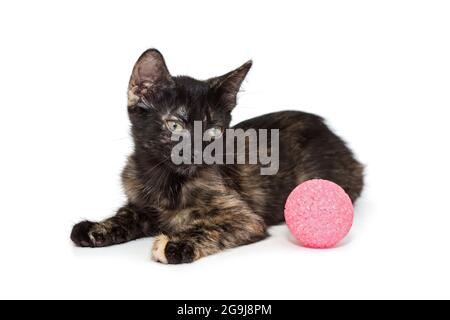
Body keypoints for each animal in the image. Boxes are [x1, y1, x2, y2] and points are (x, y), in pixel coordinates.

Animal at [71, 48, 366, 264]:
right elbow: (126, 215)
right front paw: (97, 228)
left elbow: (208, 226)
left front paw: (175, 242)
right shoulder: (141, 203)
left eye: (213, 131)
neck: (166, 182)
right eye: (175, 126)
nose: (194, 152)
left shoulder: (245, 218)